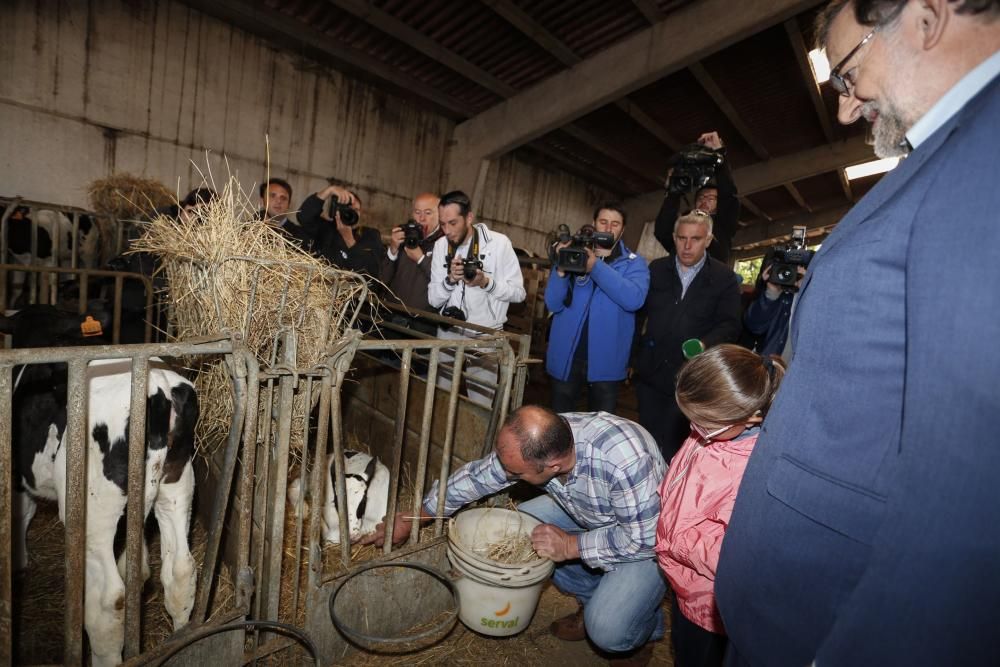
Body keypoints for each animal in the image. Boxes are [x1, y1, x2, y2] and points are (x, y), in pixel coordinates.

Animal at [4, 306, 200, 664]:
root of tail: (158, 389)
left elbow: (21, 512)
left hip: (93, 510)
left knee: (109, 602)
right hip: (177, 482)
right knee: (180, 570)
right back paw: (180, 643)